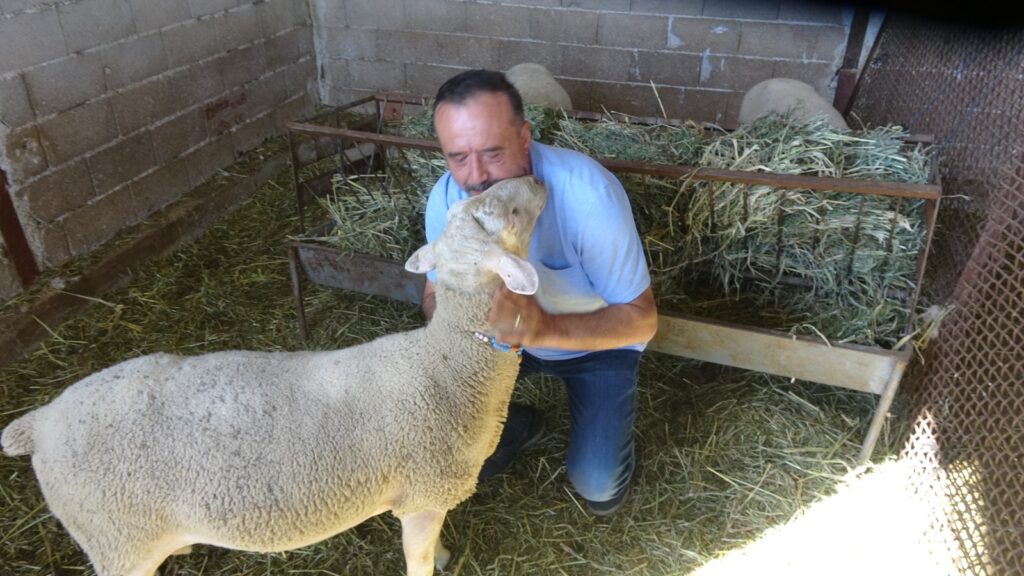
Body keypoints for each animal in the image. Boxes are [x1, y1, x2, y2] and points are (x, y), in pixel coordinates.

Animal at [4, 176, 548, 573]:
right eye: (513, 214)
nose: (536, 179)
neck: (447, 365)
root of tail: (39, 423)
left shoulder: (426, 499)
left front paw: (444, 554)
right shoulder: (423, 493)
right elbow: (416, 559)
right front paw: (434, 561)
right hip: (118, 541)